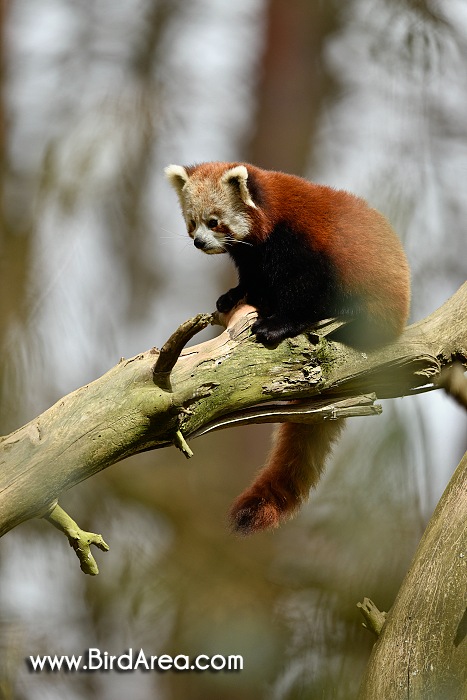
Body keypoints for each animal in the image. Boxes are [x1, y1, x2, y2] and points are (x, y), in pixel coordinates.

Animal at [165, 163, 410, 536]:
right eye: (192, 222)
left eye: (214, 221)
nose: (198, 241)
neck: (270, 227)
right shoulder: (254, 259)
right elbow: (254, 280)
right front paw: (235, 295)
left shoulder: (303, 246)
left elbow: (305, 292)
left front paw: (277, 323)